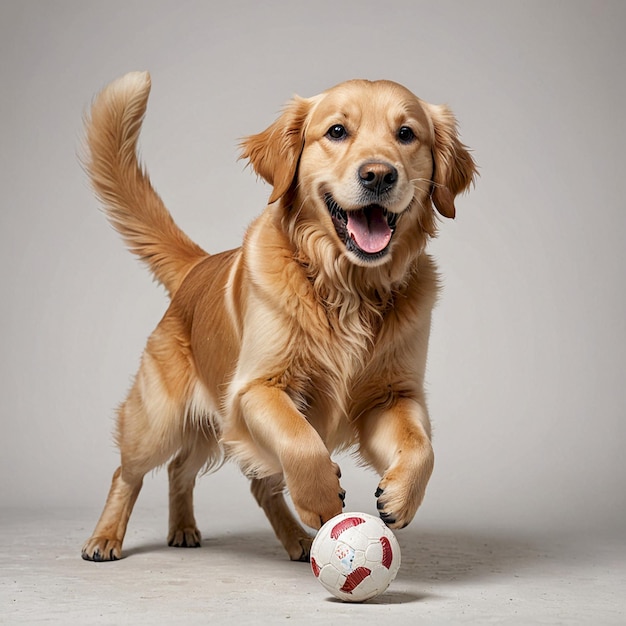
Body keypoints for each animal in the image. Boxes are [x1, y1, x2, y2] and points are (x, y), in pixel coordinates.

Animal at [80, 72, 476, 560]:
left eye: (406, 134)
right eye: (337, 131)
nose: (379, 174)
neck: (348, 287)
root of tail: (196, 267)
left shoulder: (393, 395)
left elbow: (423, 447)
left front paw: (399, 495)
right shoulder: (255, 389)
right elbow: (300, 440)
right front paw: (323, 499)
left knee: (203, 474)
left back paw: (244, 534)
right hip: (158, 420)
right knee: (129, 472)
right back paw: (105, 537)